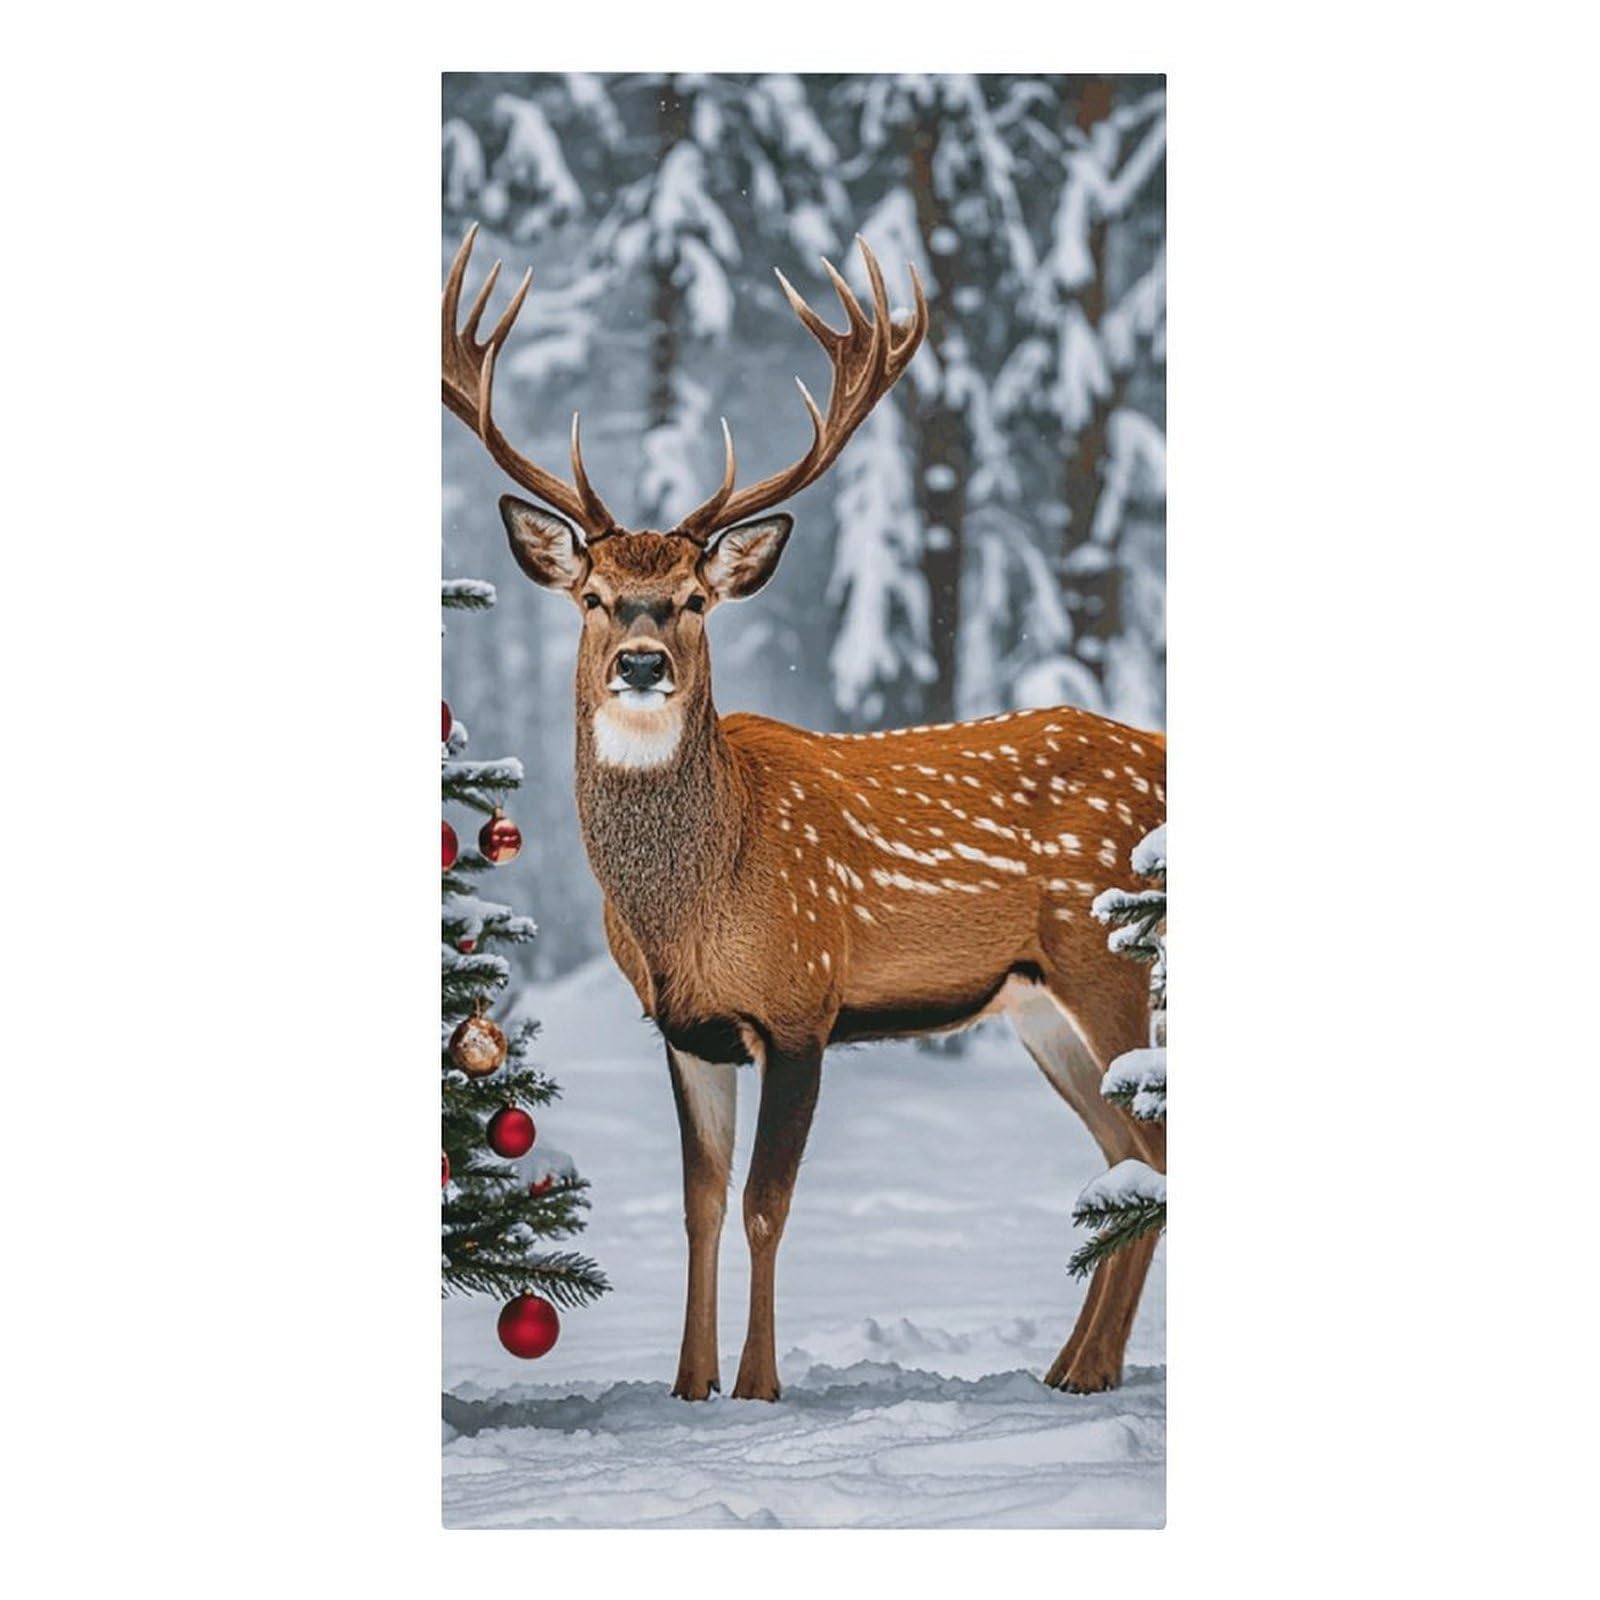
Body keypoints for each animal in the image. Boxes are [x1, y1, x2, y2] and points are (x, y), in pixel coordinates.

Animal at [442, 224, 1167, 1400]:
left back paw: (1086, 1374)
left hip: (1113, 959)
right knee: (1127, 1160)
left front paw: (759, 1388)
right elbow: (697, 1204)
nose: (640, 661)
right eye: (592, 596)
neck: (691, 904)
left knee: (1150, 1151)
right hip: (1040, 1003)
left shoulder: (801, 1002)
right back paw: (1070, 1372)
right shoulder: (687, 1027)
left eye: (695, 599)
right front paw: (688, 1388)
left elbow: (764, 1205)